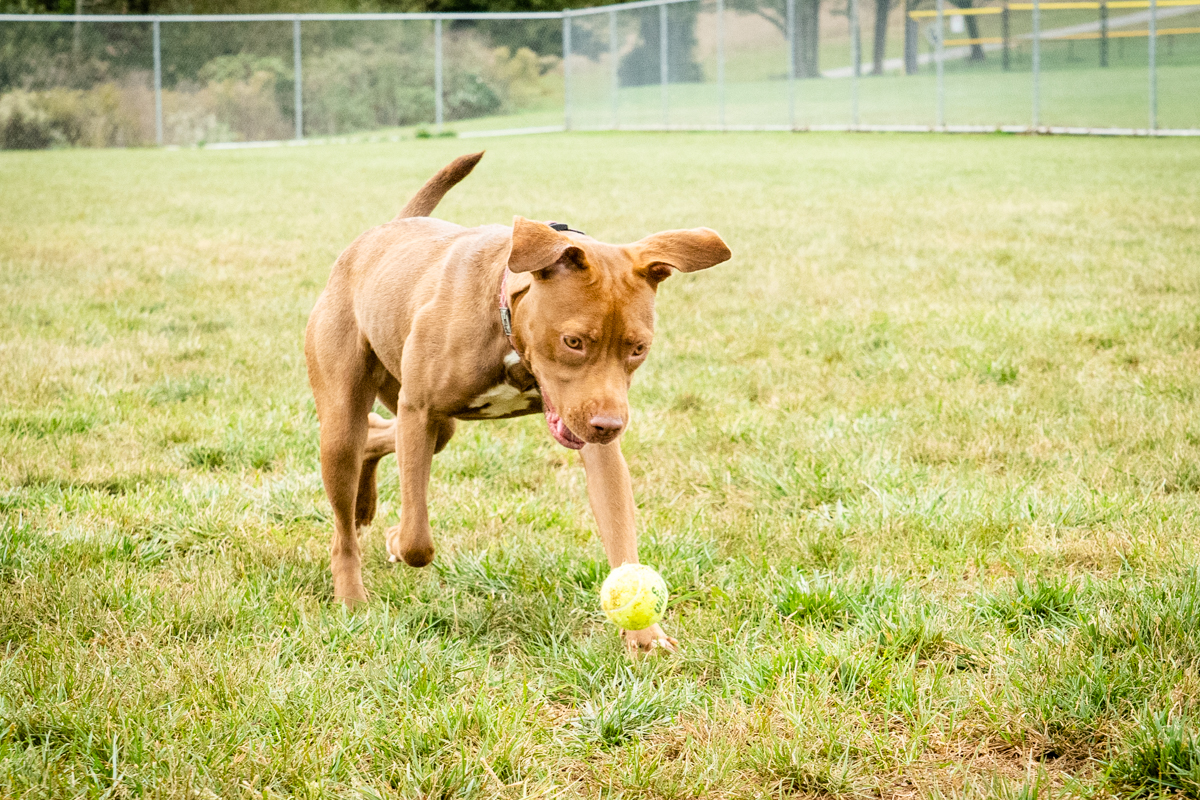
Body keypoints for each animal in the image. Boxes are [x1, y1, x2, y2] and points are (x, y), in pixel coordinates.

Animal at [305, 152, 731, 651]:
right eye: (573, 342)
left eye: (638, 348)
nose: (611, 425)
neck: (506, 316)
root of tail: (383, 231)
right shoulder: (419, 411)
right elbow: (415, 540)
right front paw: (396, 541)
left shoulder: (587, 428)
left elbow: (621, 534)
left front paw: (645, 637)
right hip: (344, 424)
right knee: (344, 523)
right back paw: (351, 594)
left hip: (432, 419)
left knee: (375, 436)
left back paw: (364, 503)